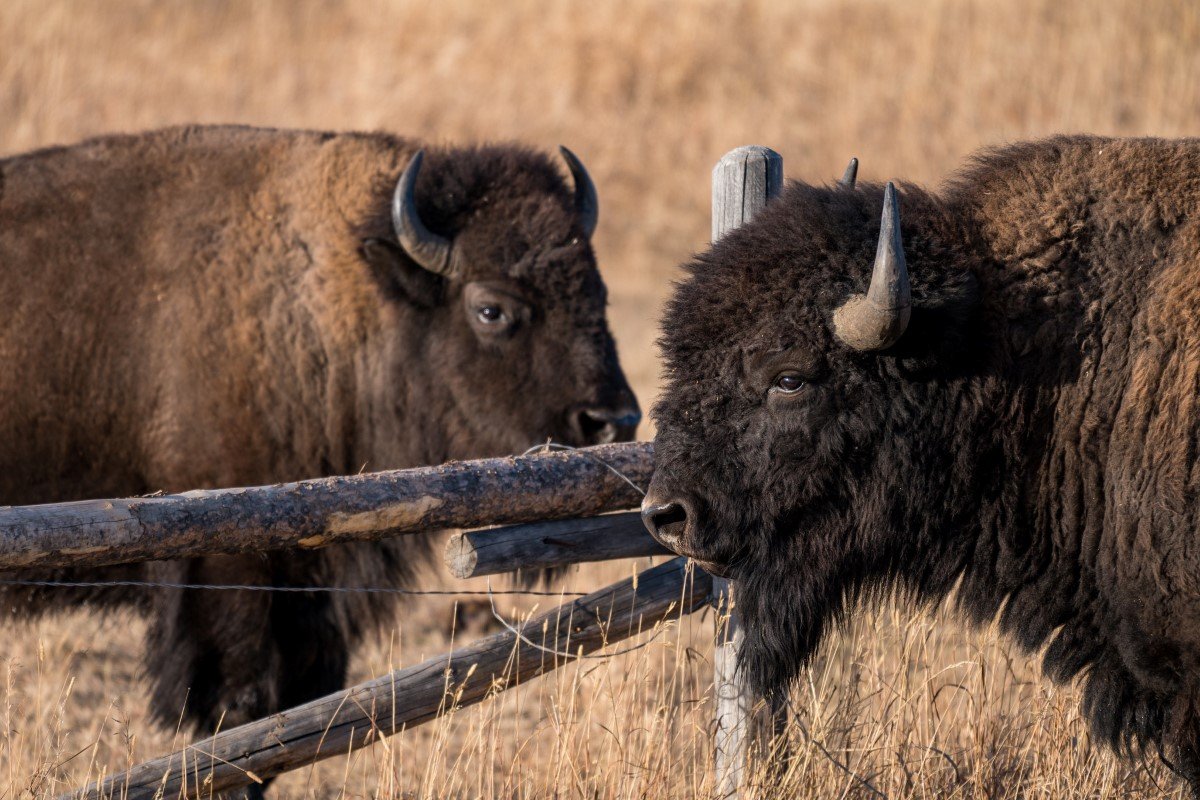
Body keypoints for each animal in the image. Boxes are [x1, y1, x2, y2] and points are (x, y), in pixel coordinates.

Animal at [0, 123, 638, 758]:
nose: (613, 420)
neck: (330, 303)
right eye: (491, 309)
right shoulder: (223, 570)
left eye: (599, 294)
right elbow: (240, 705)